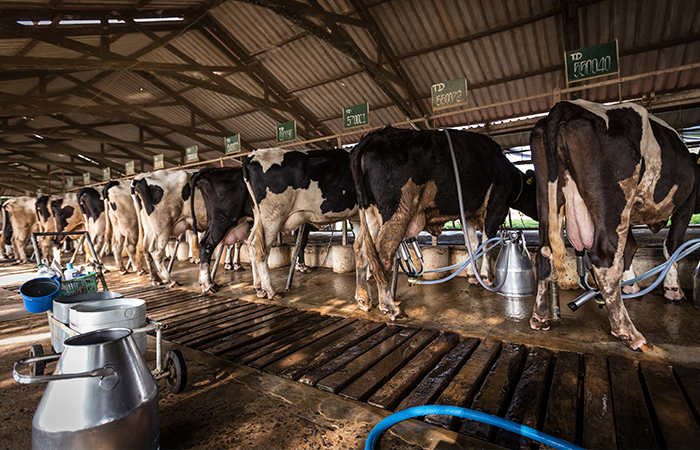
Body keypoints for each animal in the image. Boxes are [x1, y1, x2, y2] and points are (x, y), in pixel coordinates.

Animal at [242, 146, 360, 298]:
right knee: (261, 249)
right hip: (273, 216)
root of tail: (252, 155)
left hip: (259, 216)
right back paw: (271, 291)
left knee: (251, 242)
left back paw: (258, 287)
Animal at [352, 126, 540, 320]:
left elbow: (472, 244)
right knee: (382, 253)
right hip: (398, 210)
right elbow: (487, 243)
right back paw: (389, 306)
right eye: (536, 189)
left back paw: (363, 300)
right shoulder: (496, 204)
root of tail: (370, 137)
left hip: (369, 212)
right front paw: (487, 277)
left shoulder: (467, 213)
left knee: (360, 248)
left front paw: (472, 275)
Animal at [532, 99, 700, 352]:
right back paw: (628, 332)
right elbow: (672, 246)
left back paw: (540, 317)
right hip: (616, 200)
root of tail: (569, 105)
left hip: (547, 195)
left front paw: (631, 286)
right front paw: (673, 290)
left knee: (544, 253)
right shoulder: (686, 203)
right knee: (606, 258)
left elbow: (630, 246)